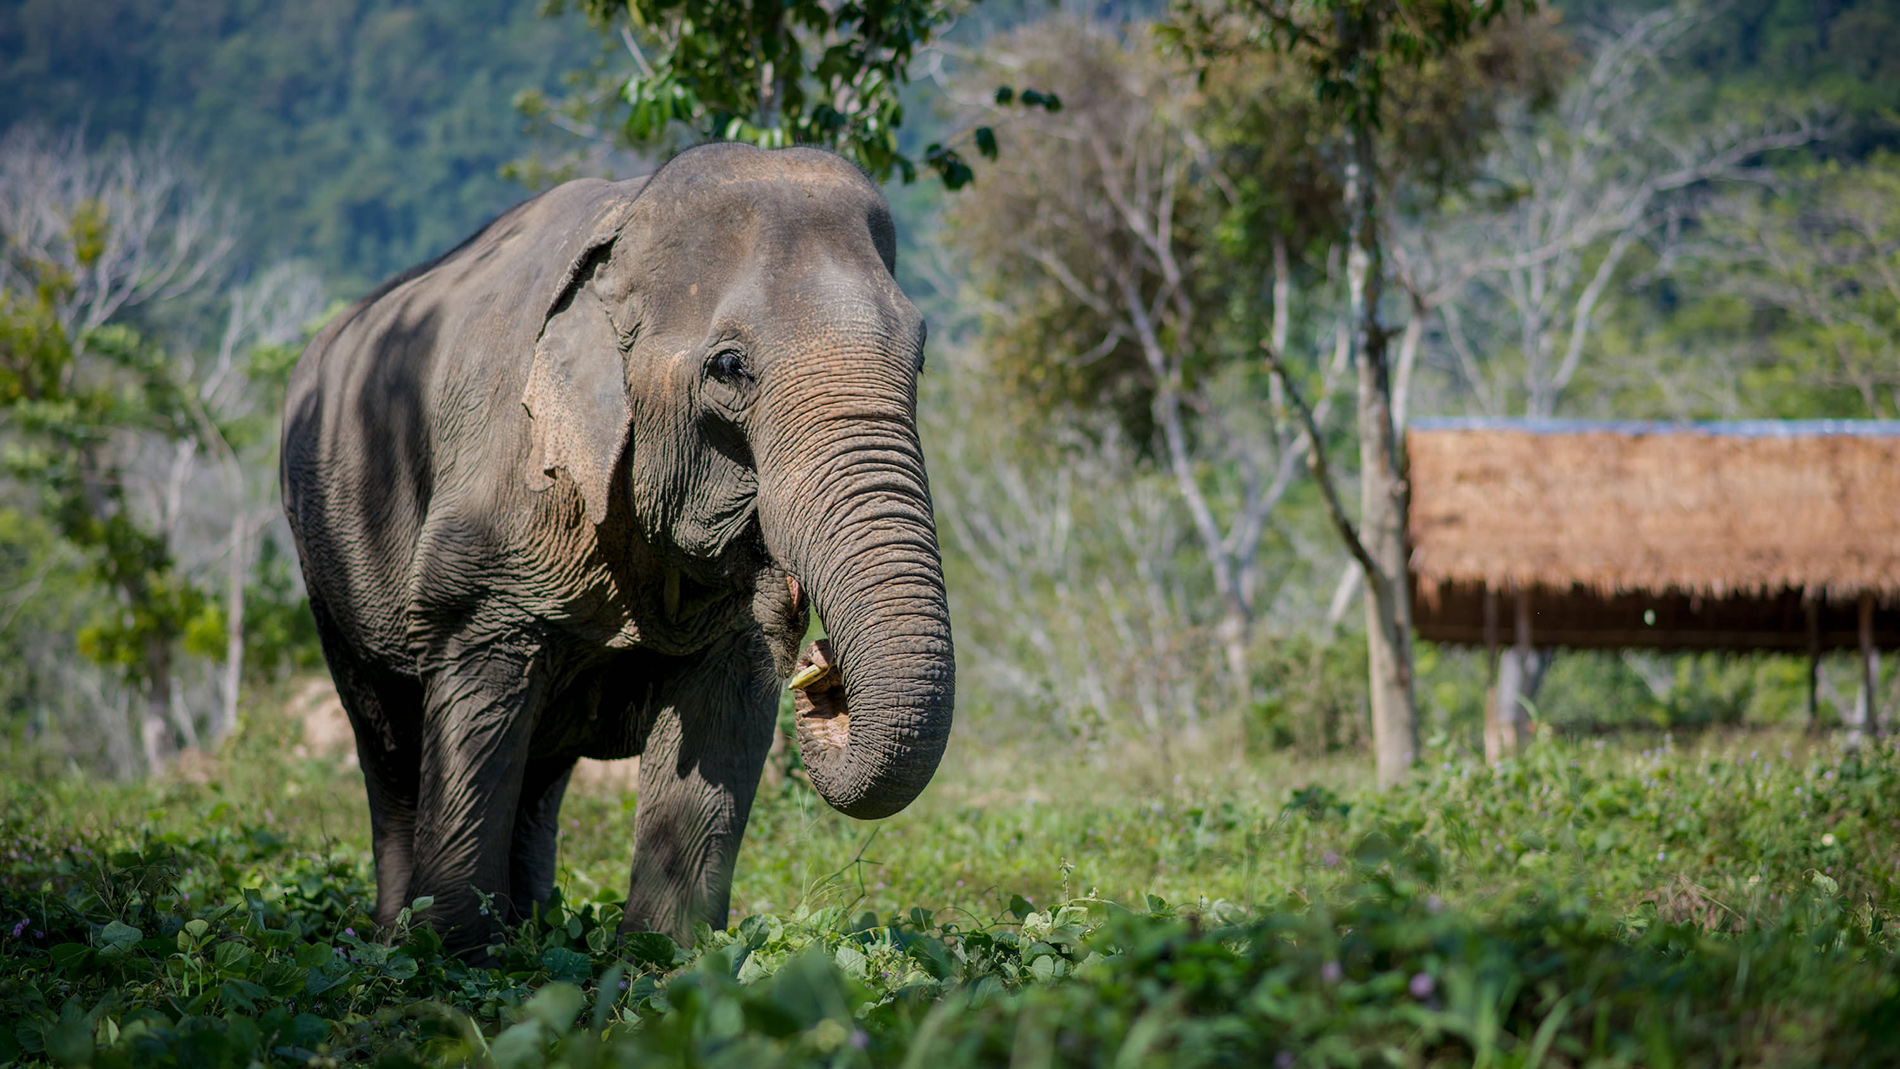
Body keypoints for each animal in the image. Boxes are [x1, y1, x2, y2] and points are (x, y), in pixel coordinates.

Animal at [277, 142, 965, 953]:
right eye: (729, 367)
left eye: (918, 357)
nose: (821, 663)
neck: (627, 220)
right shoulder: (499, 506)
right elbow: (478, 693)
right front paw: (454, 954)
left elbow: (723, 709)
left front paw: (663, 958)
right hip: (324, 566)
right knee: (387, 736)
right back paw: (401, 938)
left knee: (541, 766)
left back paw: (534, 927)